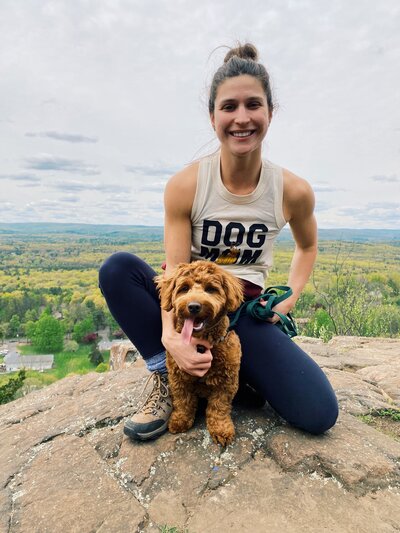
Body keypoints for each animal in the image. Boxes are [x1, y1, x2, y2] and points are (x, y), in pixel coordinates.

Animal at [156, 260, 244, 446]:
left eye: (210, 289)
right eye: (184, 288)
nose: (194, 306)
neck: (201, 343)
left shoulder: (227, 381)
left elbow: (219, 406)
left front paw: (221, 429)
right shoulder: (178, 377)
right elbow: (183, 401)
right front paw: (180, 420)